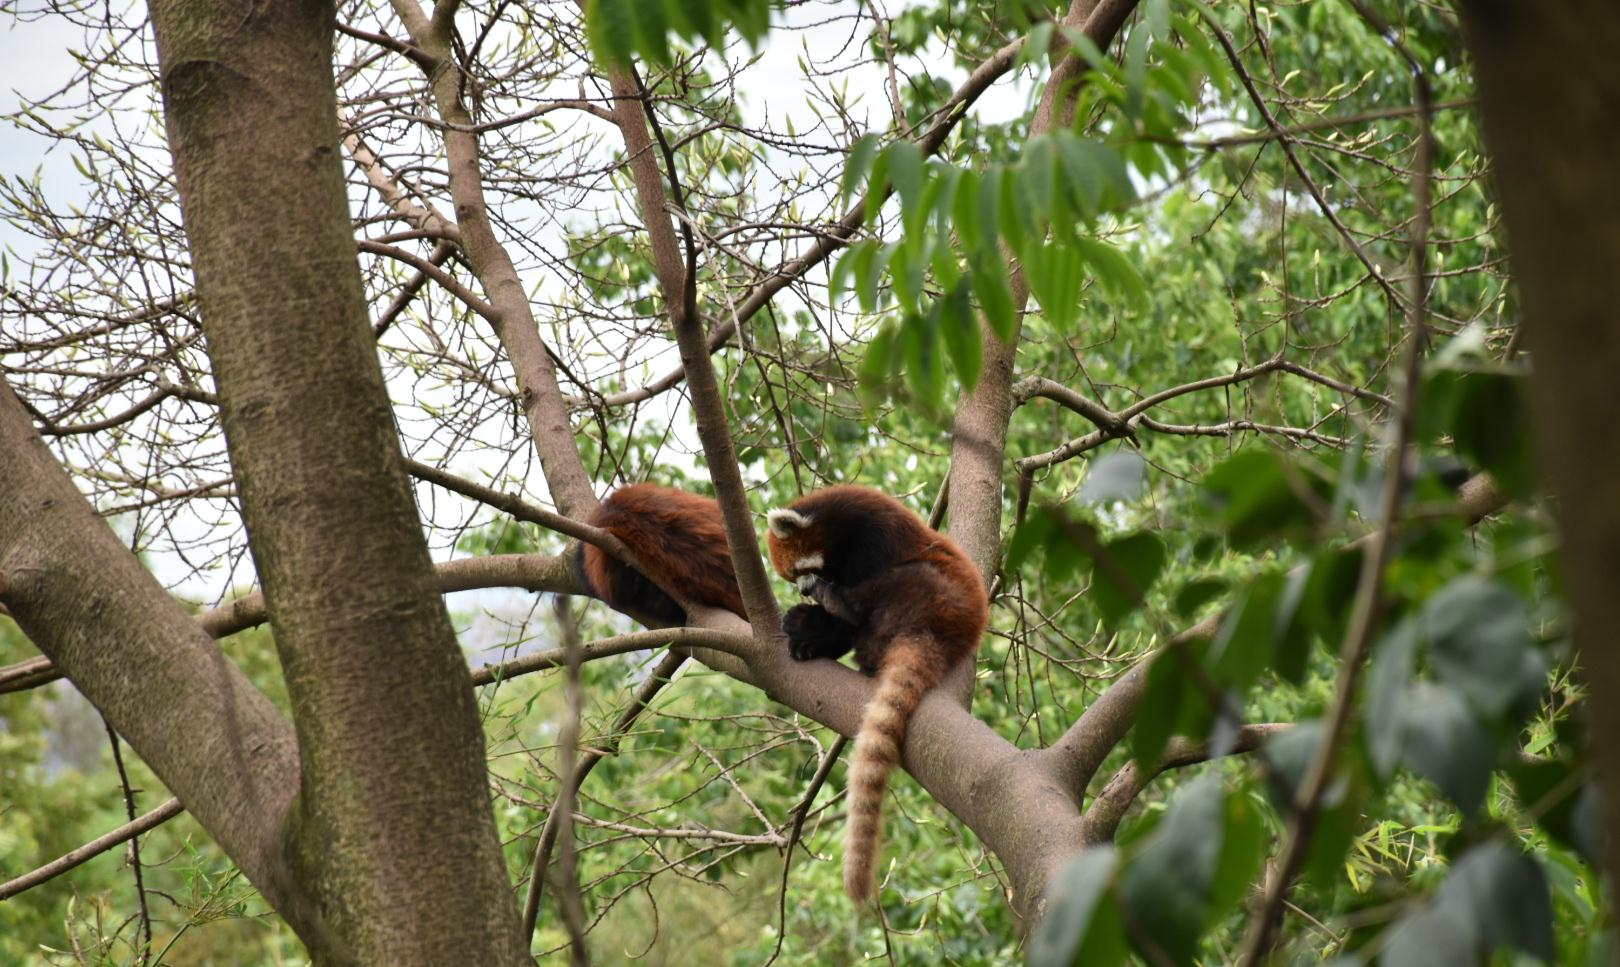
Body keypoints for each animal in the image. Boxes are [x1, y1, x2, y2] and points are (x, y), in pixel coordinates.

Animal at [767, 485, 984, 900]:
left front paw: (822, 610)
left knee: (884, 590)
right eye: (790, 576)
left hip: (934, 589)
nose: (804, 589)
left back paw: (838, 604)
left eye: (800, 571)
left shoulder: (873, 533)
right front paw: (810, 634)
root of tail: (949, 632)